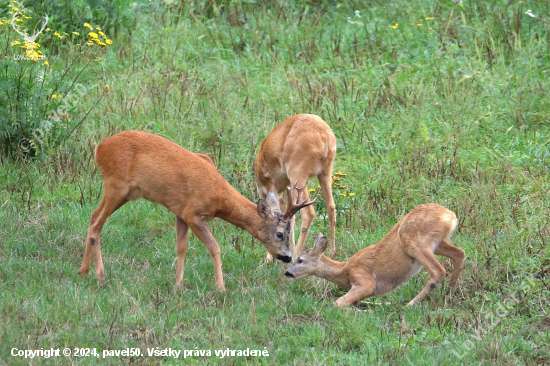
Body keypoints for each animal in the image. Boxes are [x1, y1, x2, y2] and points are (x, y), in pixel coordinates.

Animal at [76, 130, 314, 290]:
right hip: (116, 186)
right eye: (280, 233)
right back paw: (99, 275)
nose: (287, 257)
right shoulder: (193, 214)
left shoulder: (180, 212)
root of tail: (99, 149)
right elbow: (214, 247)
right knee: (97, 221)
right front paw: (220, 287)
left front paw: (177, 285)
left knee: (93, 217)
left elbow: (181, 248)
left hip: (122, 192)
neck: (218, 195)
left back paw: (83, 271)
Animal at [256, 114, 338, 258]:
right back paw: (331, 253)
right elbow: (291, 217)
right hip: (324, 174)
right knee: (331, 207)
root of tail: (324, 135)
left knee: (309, 213)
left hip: (298, 176)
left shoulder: (272, 186)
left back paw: (296, 257)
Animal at [286, 204, 468, 308]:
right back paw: (448, 295)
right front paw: (384, 303)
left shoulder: (364, 280)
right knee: (460, 253)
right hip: (438, 243)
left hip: (413, 241)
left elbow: (337, 303)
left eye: (300, 260)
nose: (287, 272)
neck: (345, 270)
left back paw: (410, 305)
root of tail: (451, 216)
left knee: (438, 271)